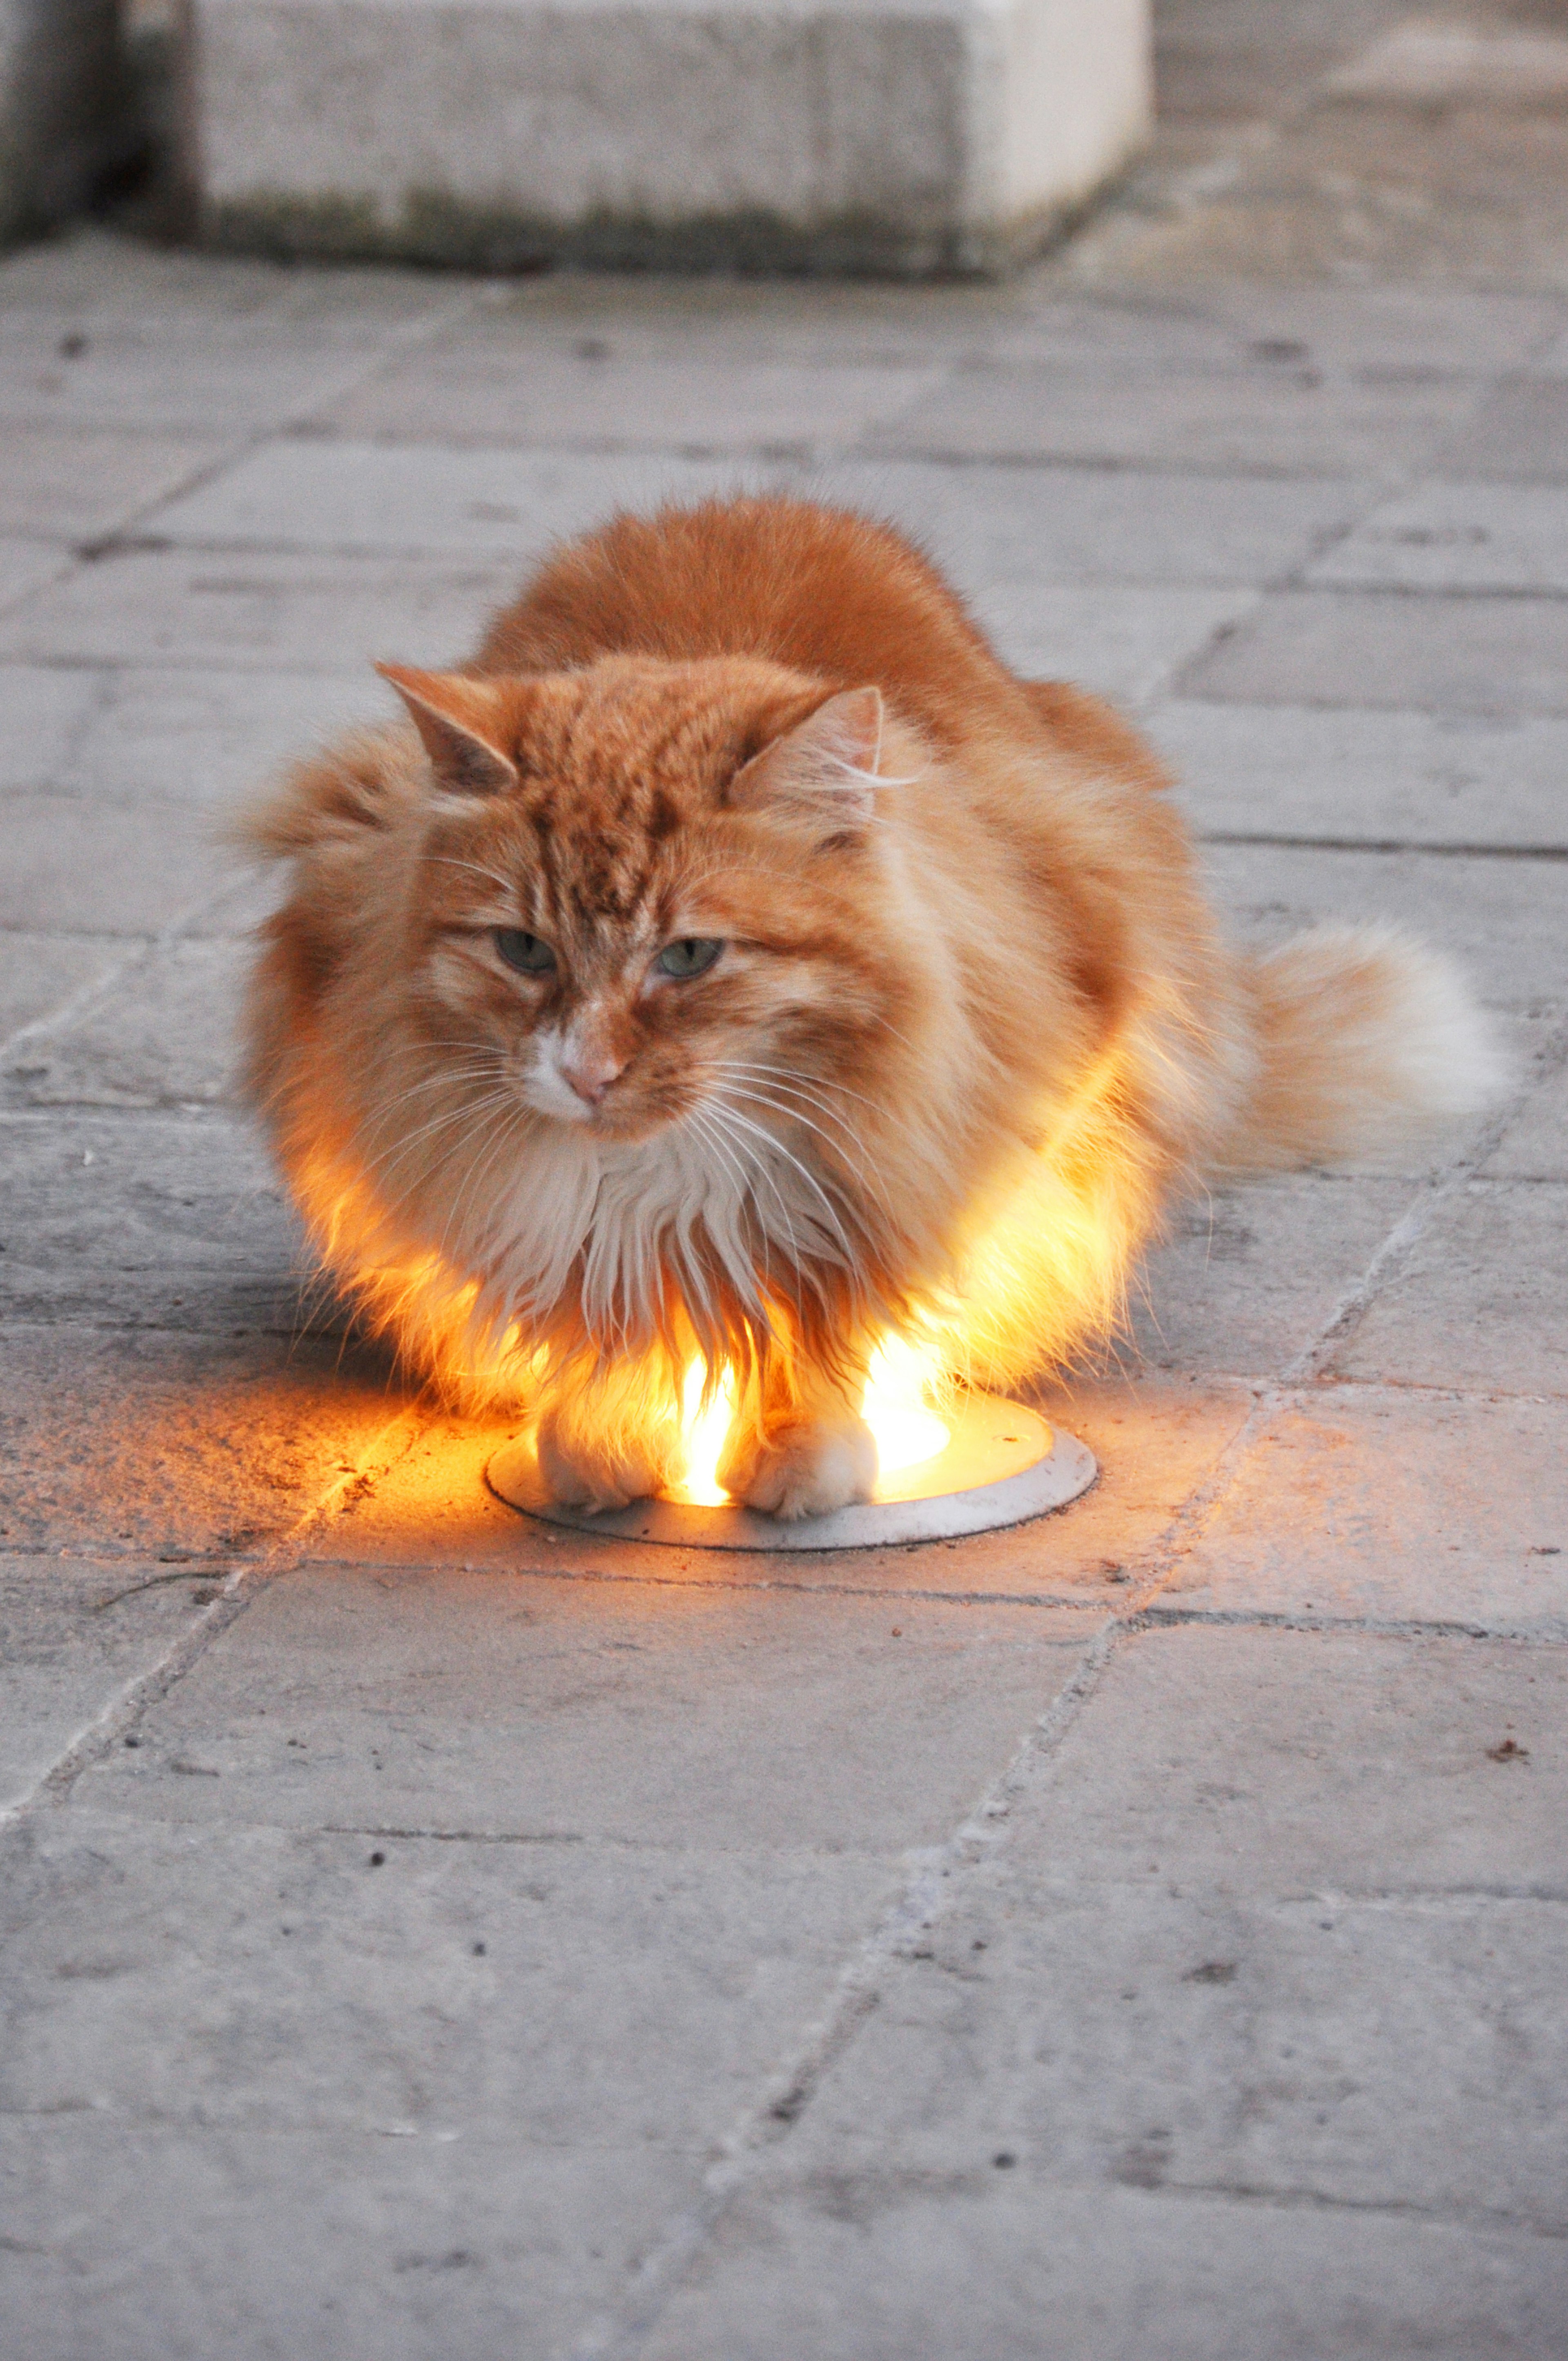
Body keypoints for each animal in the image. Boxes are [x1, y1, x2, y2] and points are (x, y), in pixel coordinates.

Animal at [238, 500, 1502, 1520]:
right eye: (522, 949)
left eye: (689, 956)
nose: (587, 1072)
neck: (673, 1175)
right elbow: (595, 1309)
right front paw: (606, 1430)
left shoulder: (924, 1156)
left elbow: (831, 1315)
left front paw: (806, 1453)